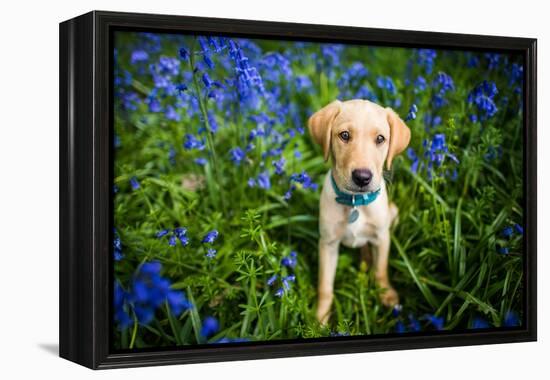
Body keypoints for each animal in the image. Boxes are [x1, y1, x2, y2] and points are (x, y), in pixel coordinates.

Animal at [310, 98, 410, 324]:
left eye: (380, 139)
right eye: (344, 135)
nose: (362, 177)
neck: (355, 202)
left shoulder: (382, 237)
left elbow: (381, 269)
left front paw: (386, 294)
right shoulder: (327, 244)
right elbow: (325, 286)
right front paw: (320, 319)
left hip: (393, 213)